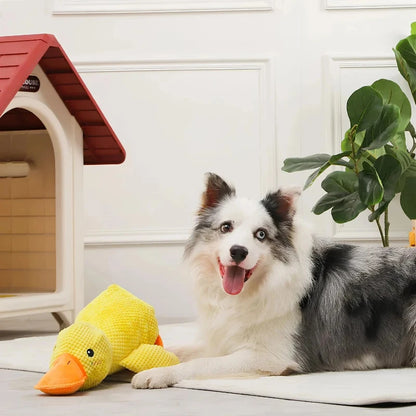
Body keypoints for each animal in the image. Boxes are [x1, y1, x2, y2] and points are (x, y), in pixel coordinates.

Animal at [132, 173, 416, 390]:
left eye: (260, 234)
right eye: (226, 227)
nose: (238, 252)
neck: (253, 290)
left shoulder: (272, 356)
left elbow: (202, 363)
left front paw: (156, 374)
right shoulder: (225, 339)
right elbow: (180, 349)